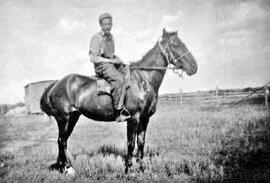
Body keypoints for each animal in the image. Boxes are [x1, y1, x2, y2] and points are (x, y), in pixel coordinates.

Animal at [39, 28, 196, 174]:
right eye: (175, 44)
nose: (194, 67)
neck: (142, 80)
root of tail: (56, 84)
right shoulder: (133, 118)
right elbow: (131, 144)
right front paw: (128, 169)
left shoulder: (145, 119)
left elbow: (141, 143)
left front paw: (141, 169)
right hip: (63, 119)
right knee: (61, 141)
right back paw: (66, 169)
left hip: (73, 117)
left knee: (63, 141)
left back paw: (65, 167)